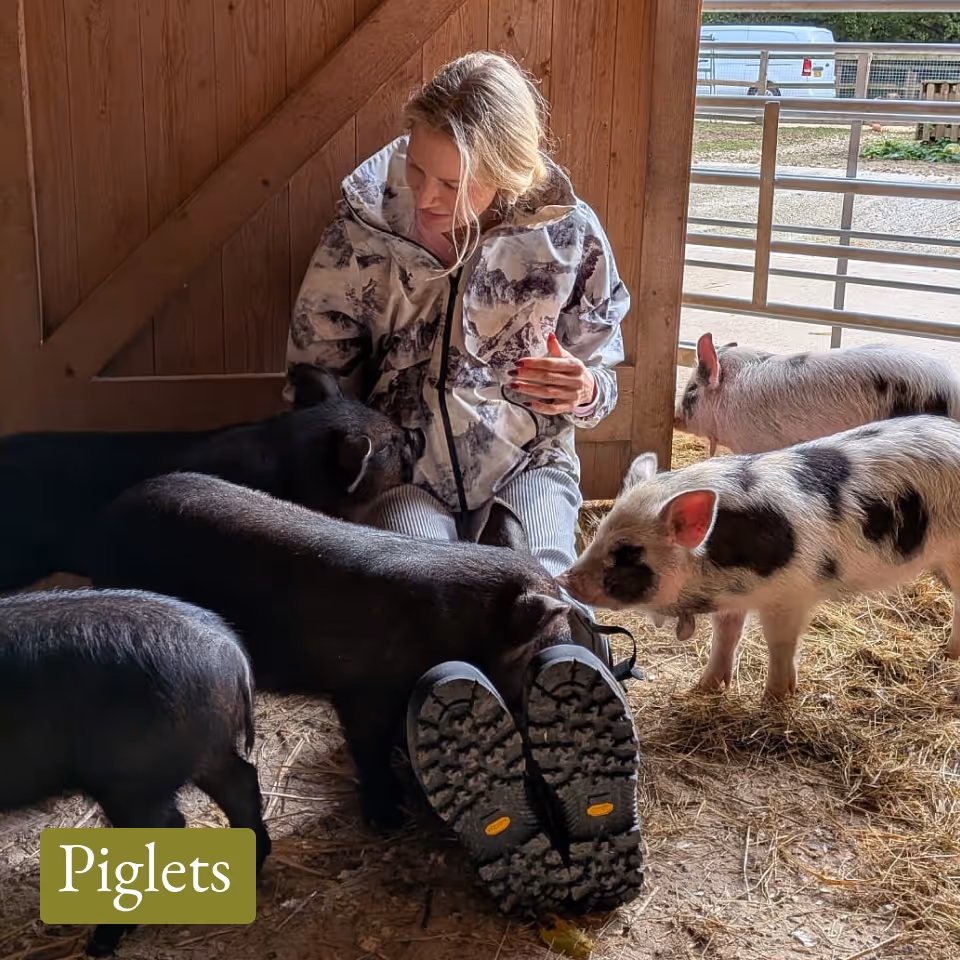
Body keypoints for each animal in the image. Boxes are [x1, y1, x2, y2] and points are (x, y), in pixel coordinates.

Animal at [0, 587, 272, 957]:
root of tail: (233, 653)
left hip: (133, 776)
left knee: (167, 824)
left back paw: (100, 942)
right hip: (199, 750)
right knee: (240, 781)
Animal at [85, 471, 574, 830]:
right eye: (541, 652)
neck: (454, 626)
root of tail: (107, 517)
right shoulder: (363, 691)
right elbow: (369, 747)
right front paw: (387, 819)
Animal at [559, 414, 960, 702]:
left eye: (628, 552)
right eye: (600, 532)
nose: (565, 578)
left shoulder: (790, 594)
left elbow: (779, 643)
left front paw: (775, 698)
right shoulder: (733, 599)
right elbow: (726, 635)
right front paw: (703, 688)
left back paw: (950, 656)